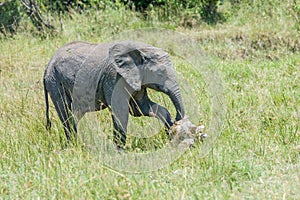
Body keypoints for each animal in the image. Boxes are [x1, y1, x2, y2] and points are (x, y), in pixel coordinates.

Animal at [43, 39, 185, 148]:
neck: (140, 51)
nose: (178, 119)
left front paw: (170, 132)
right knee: (66, 113)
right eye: (160, 73)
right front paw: (120, 151)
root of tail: (48, 65)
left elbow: (140, 108)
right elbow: (121, 111)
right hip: (55, 82)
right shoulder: (114, 77)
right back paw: (73, 146)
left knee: (75, 114)